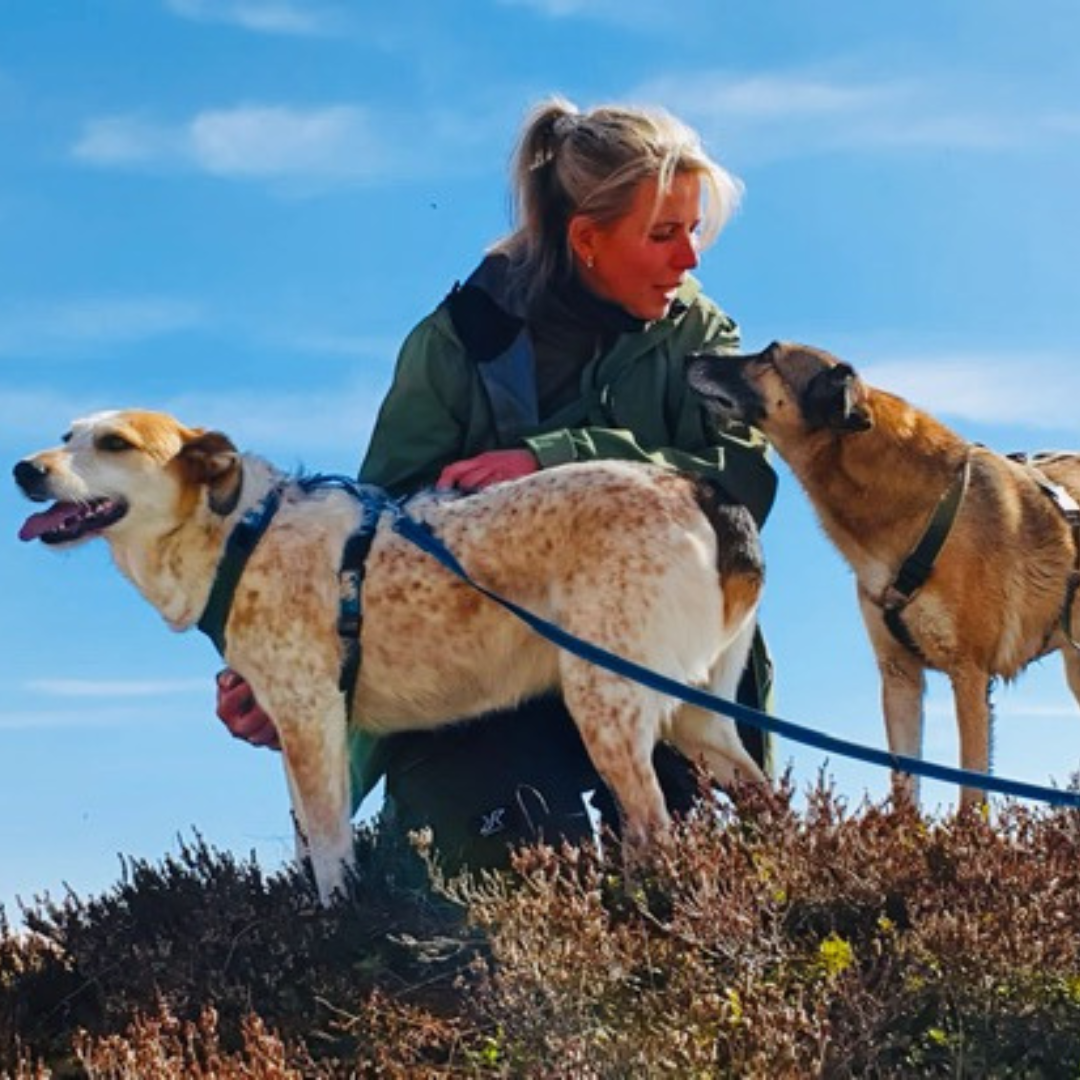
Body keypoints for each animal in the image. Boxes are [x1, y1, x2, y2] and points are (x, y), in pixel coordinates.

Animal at [12, 410, 764, 902]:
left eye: (114, 443)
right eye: (65, 437)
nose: (24, 469)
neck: (238, 533)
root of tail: (696, 488)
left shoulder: (311, 719)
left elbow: (330, 856)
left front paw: (338, 936)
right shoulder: (299, 728)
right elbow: (313, 843)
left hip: (605, 705)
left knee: (654, 829)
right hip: (699, 718)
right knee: (762, 800)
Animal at [686, 341, 1080, 807]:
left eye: (768, 356)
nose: (691, 358)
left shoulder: (969, 675)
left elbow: (970, 790)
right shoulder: (899, 677)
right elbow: (904, 787)